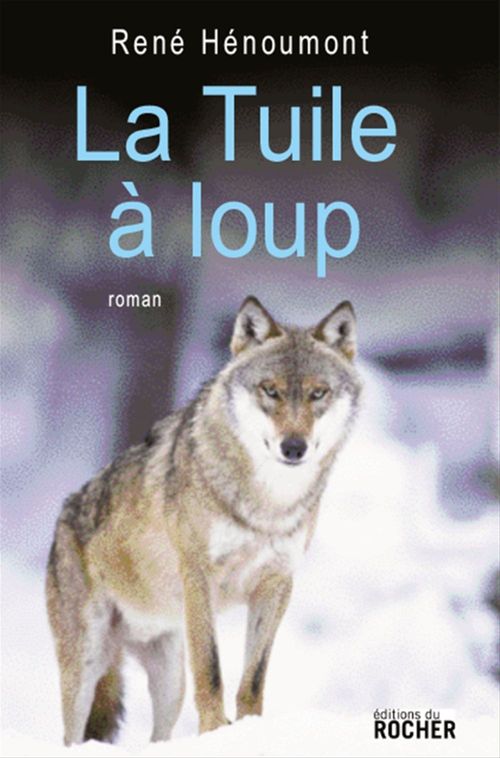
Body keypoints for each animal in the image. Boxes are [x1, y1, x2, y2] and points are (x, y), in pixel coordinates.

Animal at [46, 296, 362, 745]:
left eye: (319, 393)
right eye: (271, 391)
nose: (294, 447)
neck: (266, 505)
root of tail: (63, 515)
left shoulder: (276, 583)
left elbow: (253, 677)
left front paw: (249, 728)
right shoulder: (197, 575)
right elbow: (211, 669)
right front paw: (216, 729)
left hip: (169, 679)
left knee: (159, 735)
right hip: (86, 669)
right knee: (72, 735)